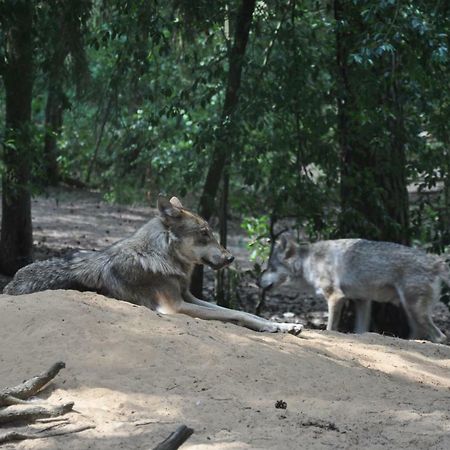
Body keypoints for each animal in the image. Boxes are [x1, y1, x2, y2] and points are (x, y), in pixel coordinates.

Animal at [3, 197, 302, 334]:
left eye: (212, 233)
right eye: (204, 234)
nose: (230, 258)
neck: (163, 258)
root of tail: (8, 286)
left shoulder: (190, 296)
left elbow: (240, 311)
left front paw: (283, 325)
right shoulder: (176, 307)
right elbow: (235, 315)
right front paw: (274, 327)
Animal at [258, 236, 448, 342]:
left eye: (269, 267)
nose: (258, 282)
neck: (308, 262)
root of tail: (436, 262)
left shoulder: (335, 297)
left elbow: (330, 328)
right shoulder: (362, 300)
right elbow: (360, 330)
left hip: (414, 308)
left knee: (440, 336)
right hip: (410, 310)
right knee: (418, 333)